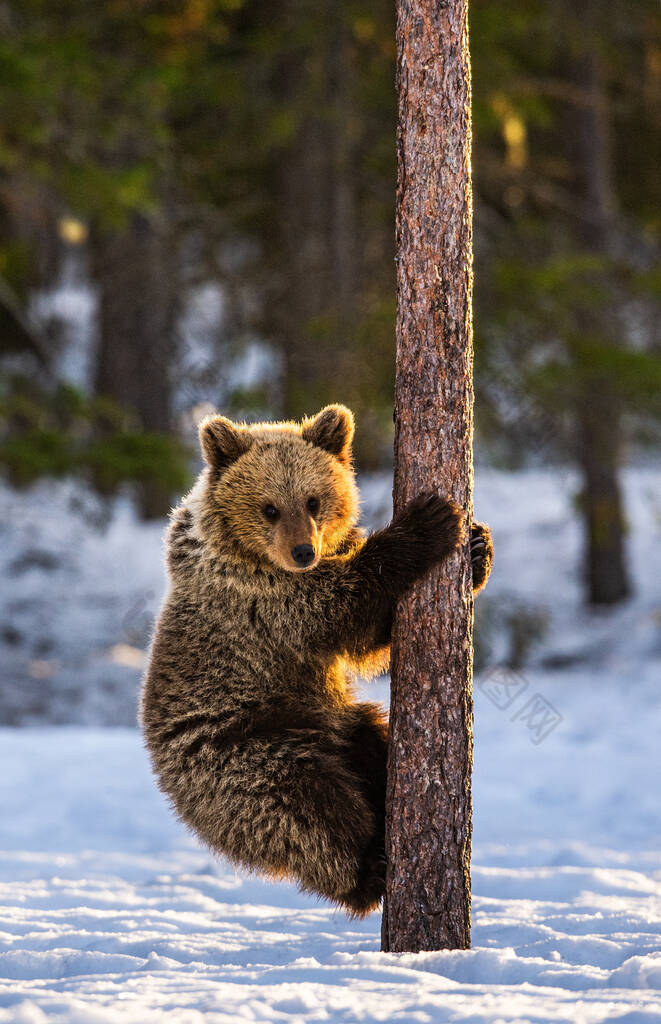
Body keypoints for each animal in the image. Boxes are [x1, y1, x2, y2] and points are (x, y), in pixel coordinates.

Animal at [141, 403, 491, 917]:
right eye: (269, 507)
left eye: (313, 500)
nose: (303, 551)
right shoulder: (260, 599)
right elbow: (339, 609)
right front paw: (429, 522)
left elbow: (372, 638)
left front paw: (479, 545)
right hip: (241, 750)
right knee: (306, 805)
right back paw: (367, 869)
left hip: (332, 718)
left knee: (371, 742)